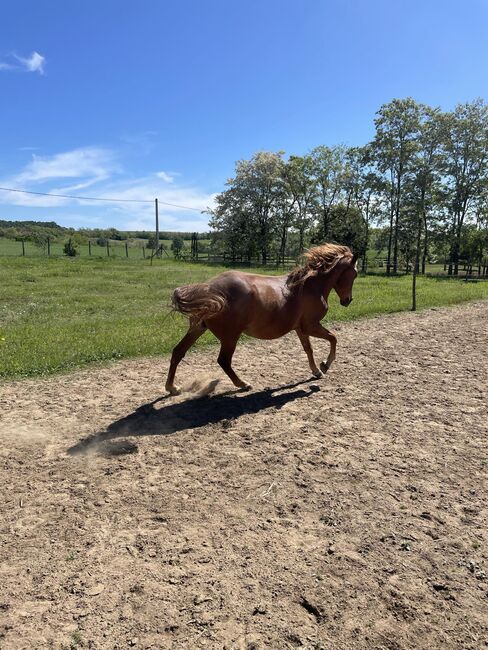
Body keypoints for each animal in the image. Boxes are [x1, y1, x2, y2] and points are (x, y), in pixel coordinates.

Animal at [166, 243, 356, 394]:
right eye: (354, 274)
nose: (347, 300)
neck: (310, 285)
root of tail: (209, 289)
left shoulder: (300, 328)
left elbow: (308, 349)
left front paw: (316, 371)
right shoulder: (311, 325)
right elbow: (333, 338)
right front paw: (325, 365)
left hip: (198, 328)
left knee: (178, 351)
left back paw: (172, 388)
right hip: (230, 336)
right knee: (223, 361)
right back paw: (243, 384)